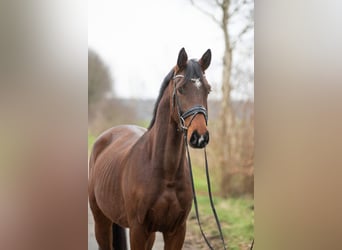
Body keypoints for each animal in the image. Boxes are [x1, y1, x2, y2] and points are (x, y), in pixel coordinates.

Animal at [88, 47, 211, 250]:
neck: (165, 171)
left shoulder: (176, 231)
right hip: (101, 221)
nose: (199, 136)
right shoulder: (138, 229)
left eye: (208, 90)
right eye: (181, 89)